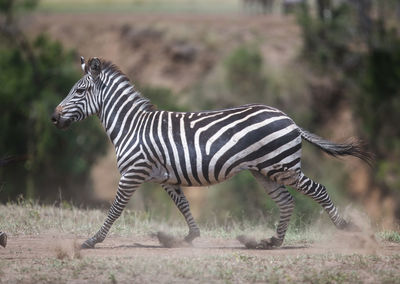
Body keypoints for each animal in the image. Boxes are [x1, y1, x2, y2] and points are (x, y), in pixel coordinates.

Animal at [51, 57, 370, 248]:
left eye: (79, 91)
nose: (53, 118)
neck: (132, 126)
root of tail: (289, 118)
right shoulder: (165, 176)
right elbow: (183, 205)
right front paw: (190, 236)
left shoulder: (133, 173)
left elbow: (115, 208)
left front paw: (93, 240)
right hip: (265, 171)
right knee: (287, 201)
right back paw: (272, 242)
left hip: (283, 167)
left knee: (319, 190)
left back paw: (344, 228)